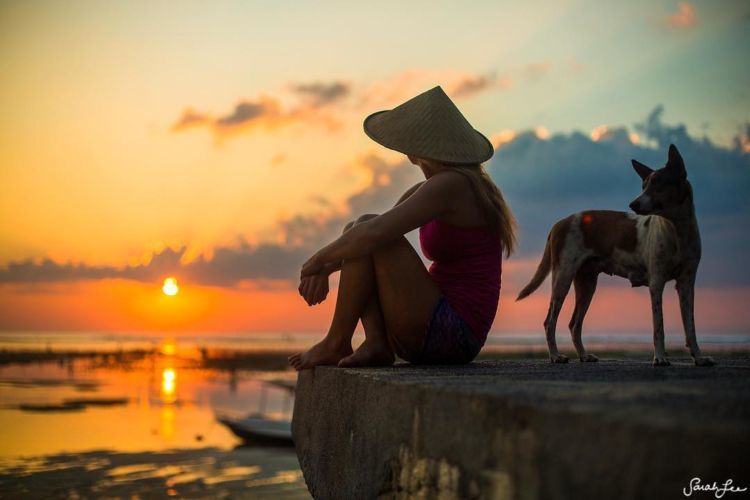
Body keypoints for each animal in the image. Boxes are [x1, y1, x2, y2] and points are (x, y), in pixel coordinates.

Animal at [516, 145, 716, 368]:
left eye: (658, 184)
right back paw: (555, 356)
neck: (676, 230)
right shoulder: (657, 283)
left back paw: (584, 355)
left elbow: (691, 327)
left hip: (587, 284)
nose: (633, 204)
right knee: (549, 321)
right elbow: (659, 327)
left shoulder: (687, 284)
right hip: (563, 278)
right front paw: (660, 357)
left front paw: (699, 357)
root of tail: (559, 223)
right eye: (644, 186)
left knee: (574, 324)